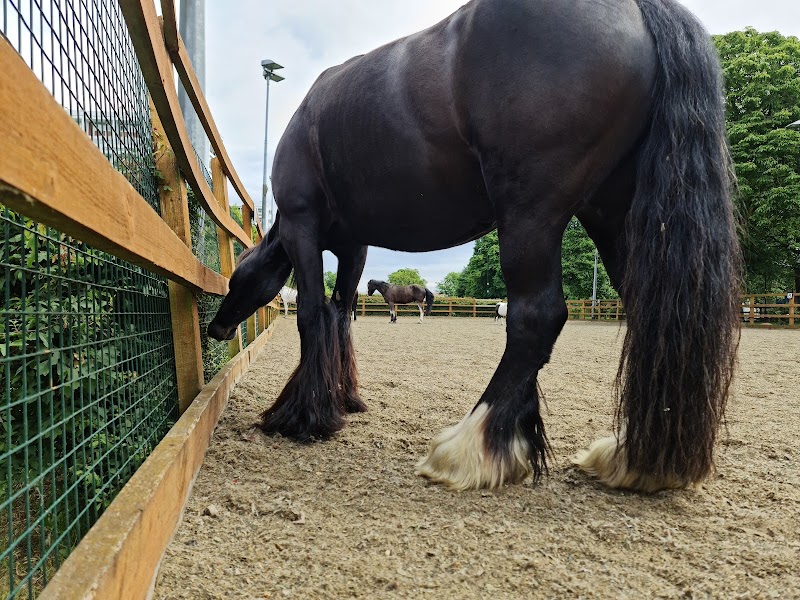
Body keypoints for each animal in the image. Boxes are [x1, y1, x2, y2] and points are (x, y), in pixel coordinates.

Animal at [208, 0, 741, 493]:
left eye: (237, 278)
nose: (216, 327)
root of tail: (640, 9)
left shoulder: (303, 226)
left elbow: (311, 314)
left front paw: (300, 415)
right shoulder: (353, 246)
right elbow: (340, 315)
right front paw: (340, 400)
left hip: (530, 214)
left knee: (536, 318)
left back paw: (472, 448)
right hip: (614, 218)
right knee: (657, 316)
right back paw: (633, 460)